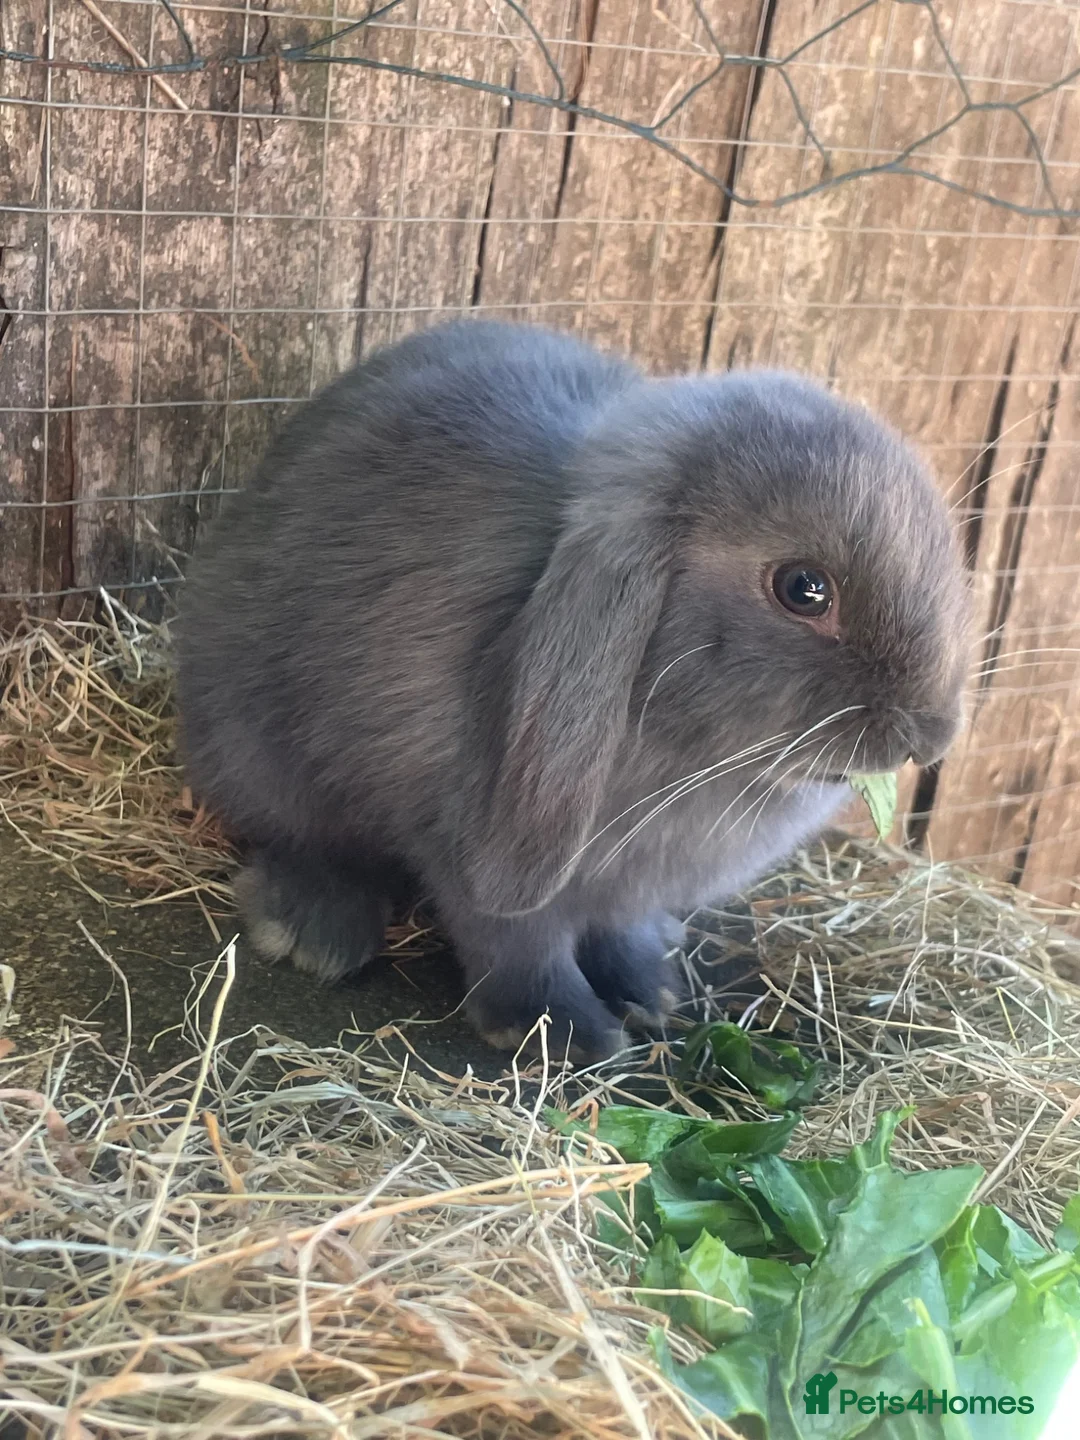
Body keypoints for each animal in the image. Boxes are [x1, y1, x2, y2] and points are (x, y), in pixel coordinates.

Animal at [176, 319, 971, 1062]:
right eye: (804, 588)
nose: (929, 735)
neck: (685, 756)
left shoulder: (622, 889)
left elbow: (616, 932)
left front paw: (650, 992)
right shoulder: (477, 853)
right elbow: (516, 939)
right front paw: (561, 1032)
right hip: (257, 753)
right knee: (302, 837)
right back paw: (312, 933)